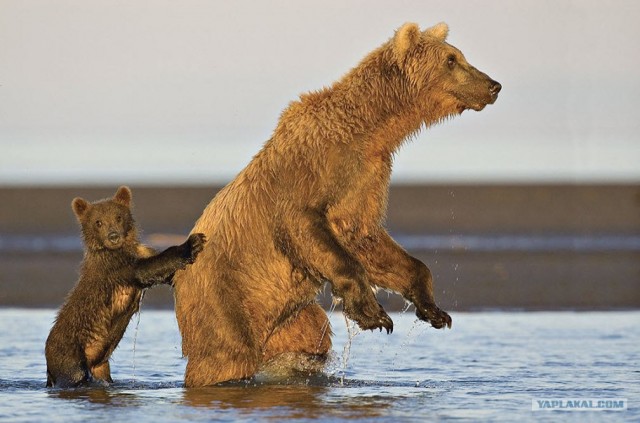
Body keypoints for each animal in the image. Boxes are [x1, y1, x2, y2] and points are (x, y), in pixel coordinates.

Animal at [174, 22, 500, 388]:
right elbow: (307, 227)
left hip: (290, 316)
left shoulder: (366, 178)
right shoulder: (311, 168)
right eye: (451, 60)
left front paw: (434, 309)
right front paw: (374, 314)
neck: (371, 131)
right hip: (223, 297)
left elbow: (367, 239)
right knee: (226, 354)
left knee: (311, 334)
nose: (493, 85)